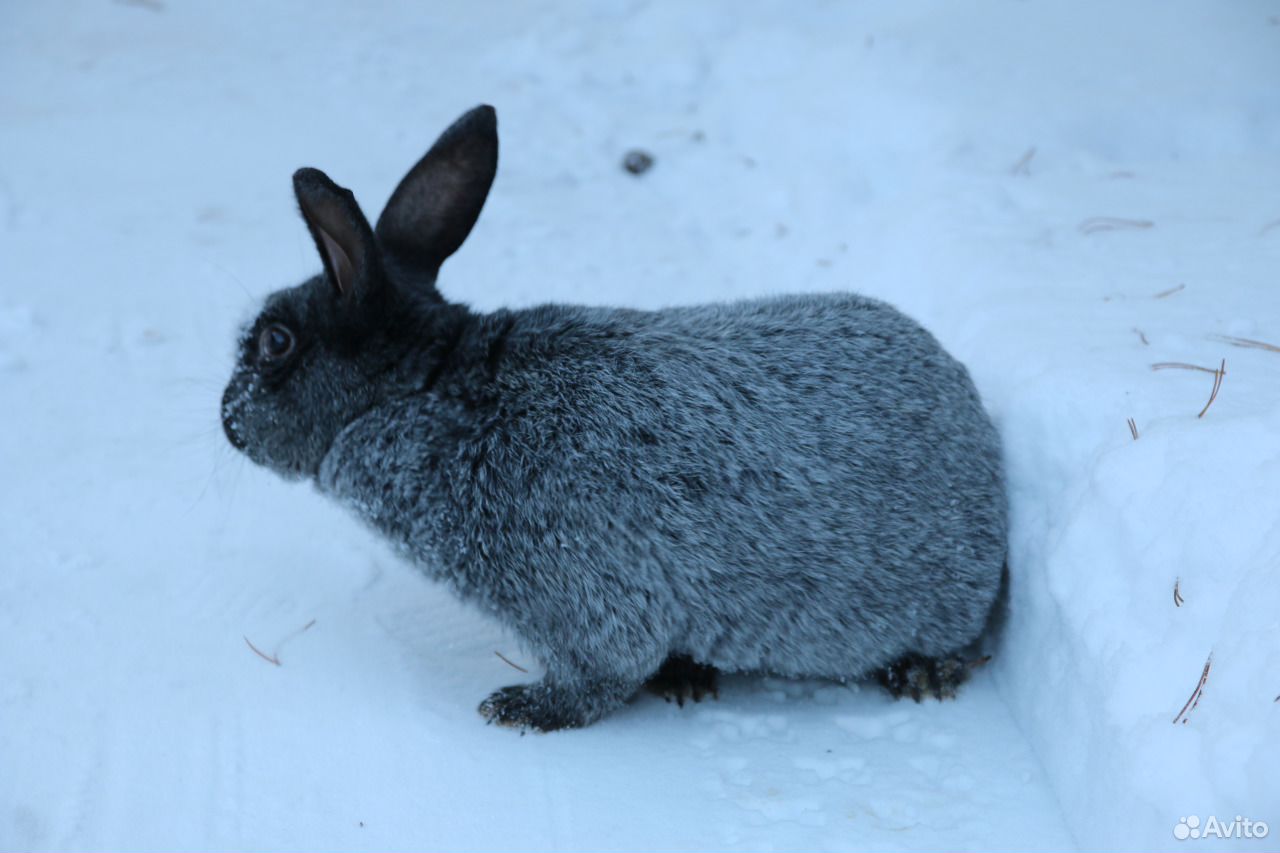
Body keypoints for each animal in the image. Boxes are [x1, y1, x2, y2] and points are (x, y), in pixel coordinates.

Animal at [222, 104, 1008, 732]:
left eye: (275, 343)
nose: (228, 420)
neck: (428, 390)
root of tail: (982, 439)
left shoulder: (579, 599)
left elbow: (599, 675)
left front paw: (521, 709)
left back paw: (921, 673)